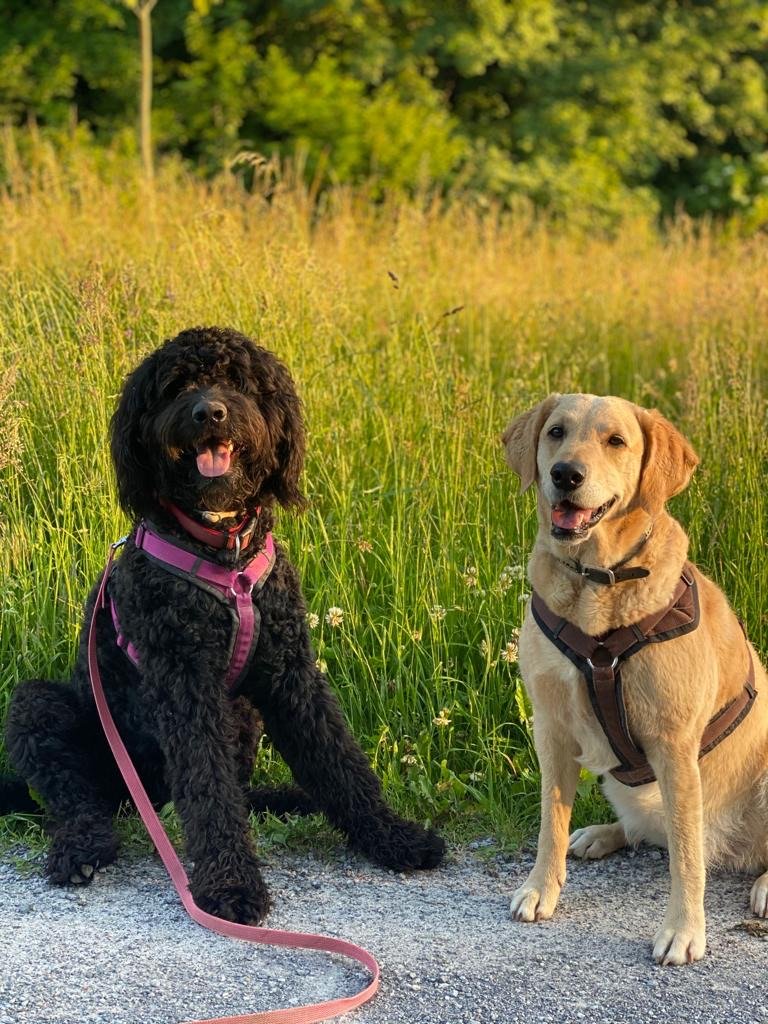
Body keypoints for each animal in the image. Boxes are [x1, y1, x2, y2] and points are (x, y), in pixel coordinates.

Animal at [4, 325, 444, 921]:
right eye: (175, 386)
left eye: (239, 382)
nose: (208, 412)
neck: (223, 549)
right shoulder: (185, 683)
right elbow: (208, 791)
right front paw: (231, 884)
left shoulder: (290, 676)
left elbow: (339, 761)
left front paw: (394, 836)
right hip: (41, 707)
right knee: (79, 797)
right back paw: (81, 848)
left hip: (243, 714)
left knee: (237, 791)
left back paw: (287, 800)